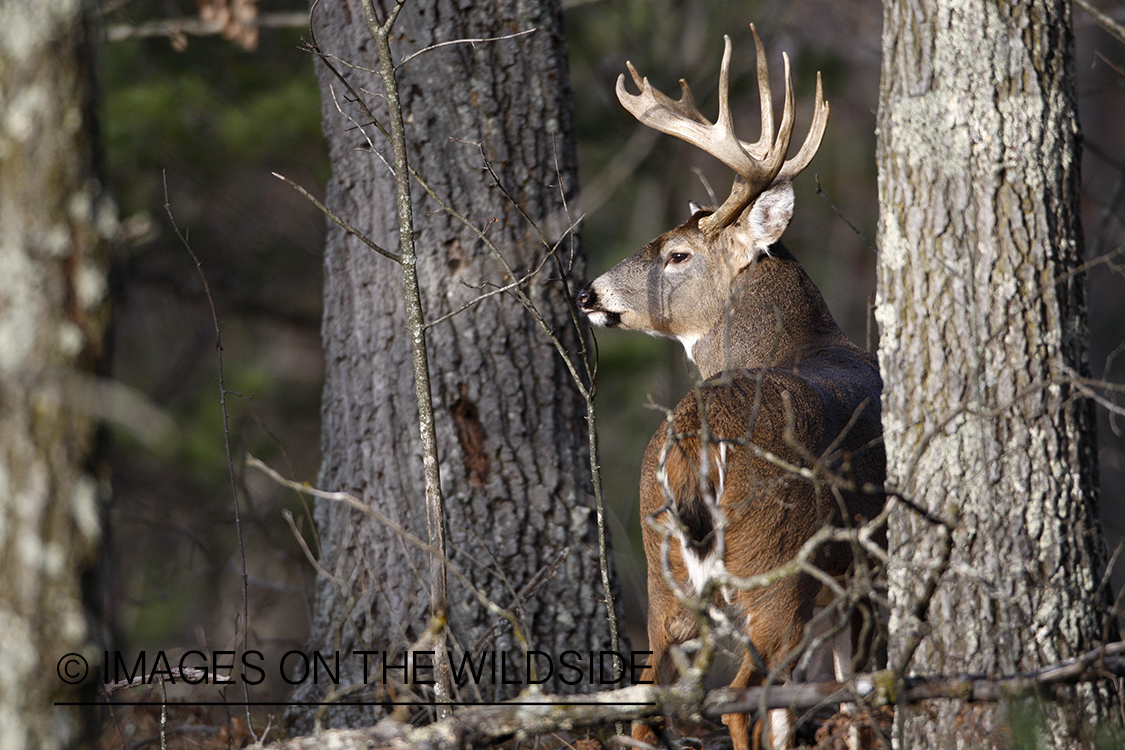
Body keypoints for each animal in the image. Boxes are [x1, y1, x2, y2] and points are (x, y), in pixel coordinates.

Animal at [580, 26, 886, 746]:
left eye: (677, 254)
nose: (587, 293)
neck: (803, 340)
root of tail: (696, 443)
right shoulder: (869, 566)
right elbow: (858, 698)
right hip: (776, 568)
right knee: (744, 699)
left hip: (665, 573)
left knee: (651, 697)